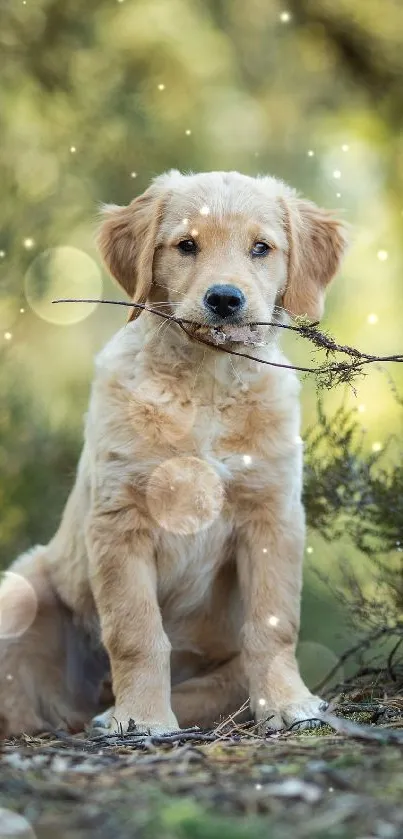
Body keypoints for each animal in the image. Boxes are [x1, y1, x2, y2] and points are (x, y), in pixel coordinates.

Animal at [0, 171, 348, 736]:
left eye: (261, 248)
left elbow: (274, 624)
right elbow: (137, 631)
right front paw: (141, 719)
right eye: (186, 246)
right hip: (22, 591)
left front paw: (288, 703)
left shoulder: (272, 514)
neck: (206, 383)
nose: (224, 299)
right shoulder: (120, 519)